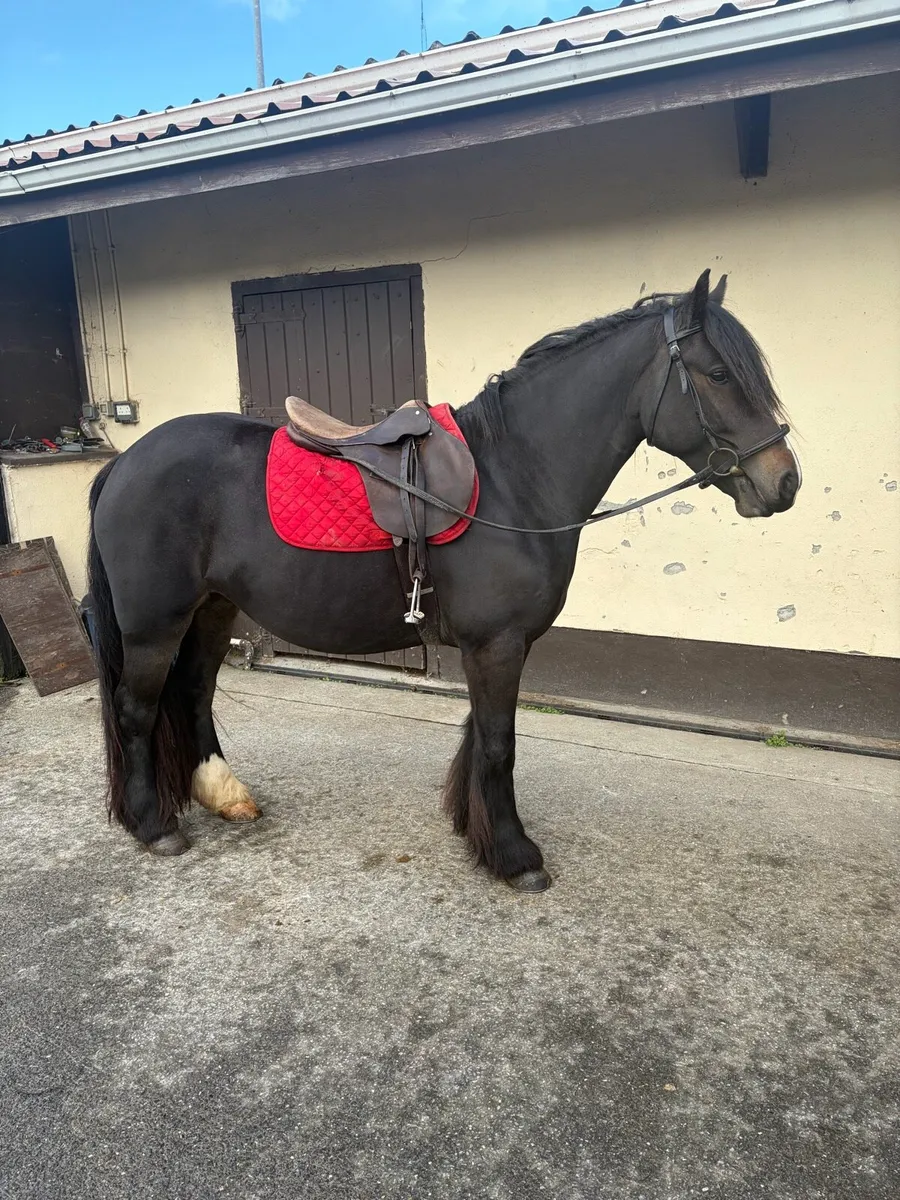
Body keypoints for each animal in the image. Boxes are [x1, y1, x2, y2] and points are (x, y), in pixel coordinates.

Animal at [87, 270, 799, 892]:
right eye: (718, 374)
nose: (784, 482)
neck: (514, 477)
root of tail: (125, 462)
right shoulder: (498, 645)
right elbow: (498, 746)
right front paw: (513, 856)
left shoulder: (497, 648)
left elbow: (481, 737)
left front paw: (473, 829)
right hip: (155, 624)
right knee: (136, 708)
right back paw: (153, 826)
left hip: (213, 609)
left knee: (193, 693)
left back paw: (223, 795)